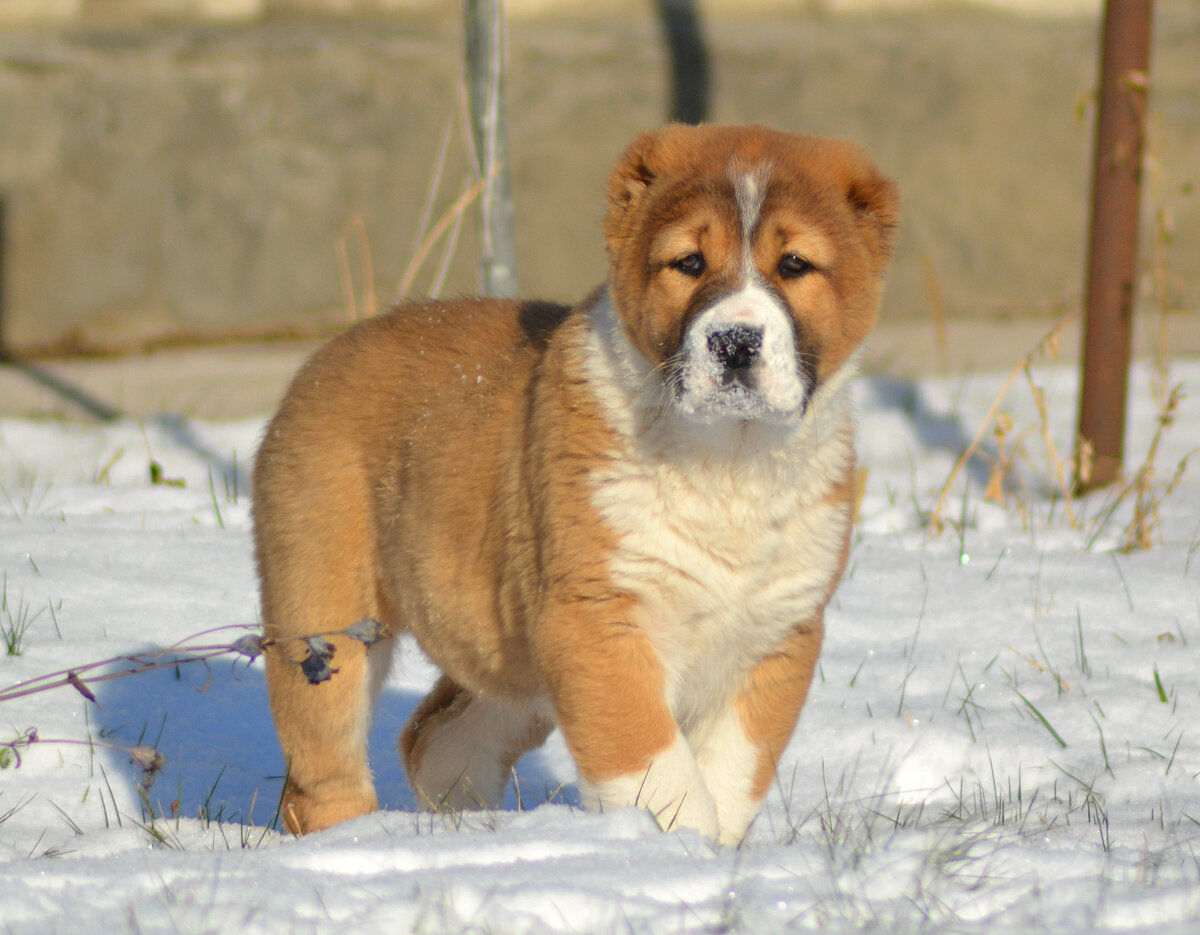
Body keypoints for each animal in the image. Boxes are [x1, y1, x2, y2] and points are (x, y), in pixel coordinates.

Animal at [253, 120, 897, 844]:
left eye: (794, 266)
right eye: (689, 263)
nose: (734, 340)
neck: (728, 462)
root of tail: (327, 355)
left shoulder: (775, 638)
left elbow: (731, 774)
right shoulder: (598, 625)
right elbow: (659, 768)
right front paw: (675, 852)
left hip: (509, 652)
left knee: (435, 737)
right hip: (325, 619)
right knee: (325, 771)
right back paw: (355, 844)